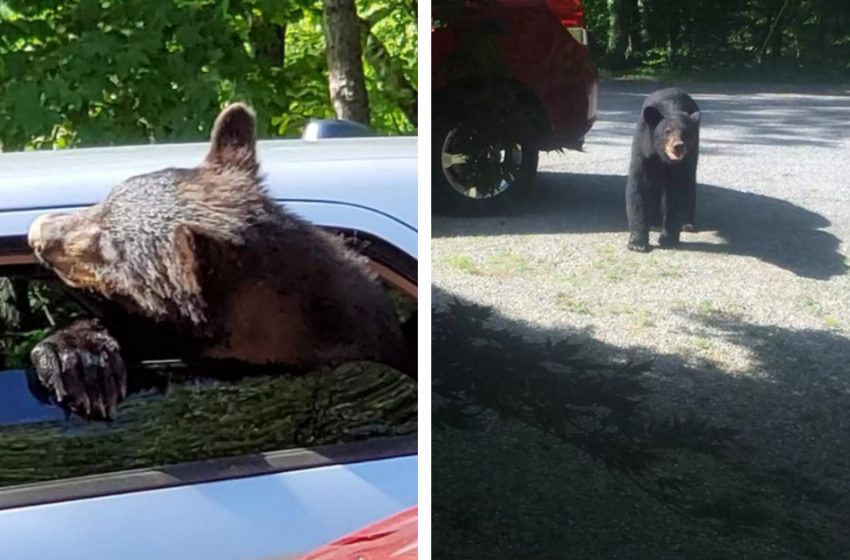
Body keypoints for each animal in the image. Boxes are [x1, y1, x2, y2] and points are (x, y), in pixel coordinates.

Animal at [628, 87, 700, 252]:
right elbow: (639, 187)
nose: (678, 146)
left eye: (686, 133)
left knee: (690, 184)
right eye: (667, 131)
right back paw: (654, 220)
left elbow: (677, 191)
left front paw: (668, 238)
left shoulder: (683, 163)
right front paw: (637, 242)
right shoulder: (643, 149)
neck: (663, 158)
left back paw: (687, 223)